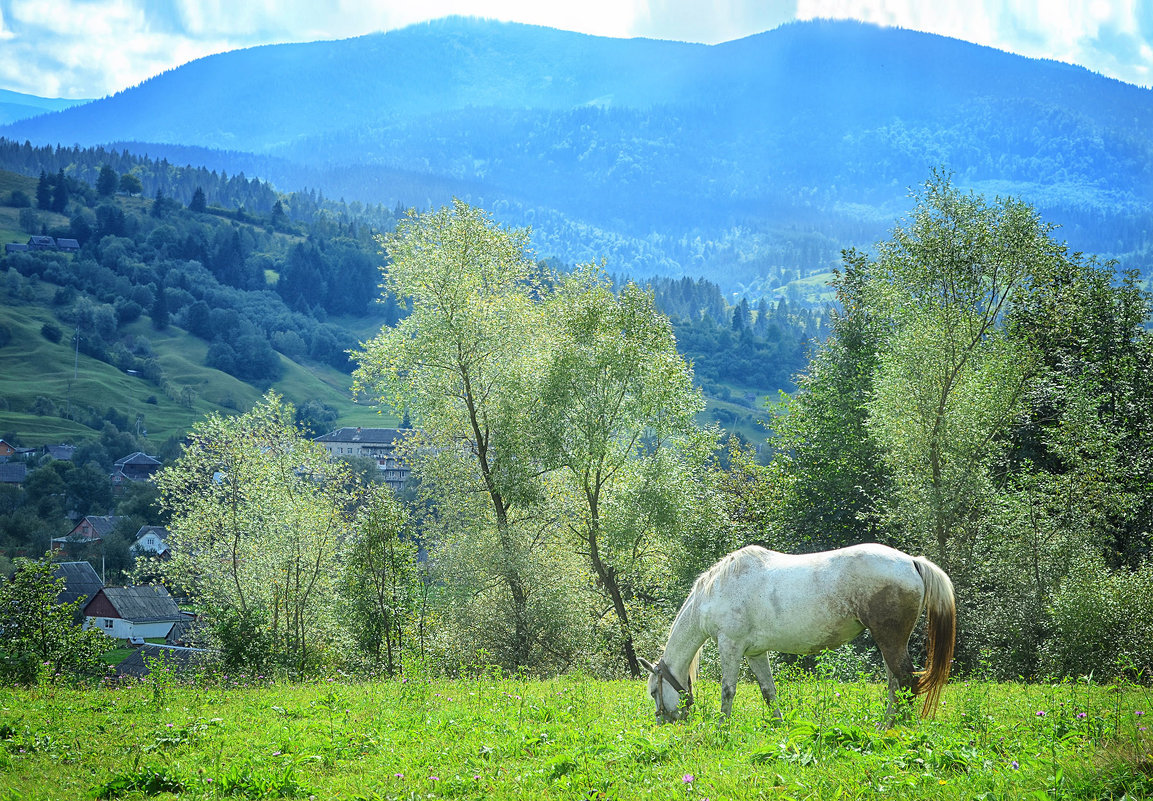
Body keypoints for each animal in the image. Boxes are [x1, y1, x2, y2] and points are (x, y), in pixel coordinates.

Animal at [641, 546, 954, 728]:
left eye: (654, 692)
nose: (663, 723)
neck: (716, 591)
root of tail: (912, 562)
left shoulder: (729, 645)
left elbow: (727, 690)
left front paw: (722, 728)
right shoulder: (754, 653)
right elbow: (768, 691)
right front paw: (778, 727)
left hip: (889, 640)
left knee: (906, 680)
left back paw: (893, 728)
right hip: (890, 642)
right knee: (896, 683)